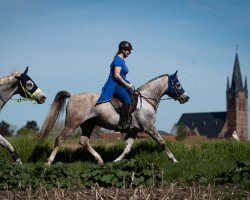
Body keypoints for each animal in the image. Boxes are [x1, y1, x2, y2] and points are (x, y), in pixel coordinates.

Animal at [39, 71, 188, 165]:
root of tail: (73, 95)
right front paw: (174, 160)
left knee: (84, 141)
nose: (186, 97)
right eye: (178, 85)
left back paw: (100, 160)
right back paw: (48, 162)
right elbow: (162, 143)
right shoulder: (149, 127)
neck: (146, 100)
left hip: (88, 124)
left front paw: (116, 161)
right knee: (60, 139)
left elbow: (127, 149)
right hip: (72, 123)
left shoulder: (134, 131)